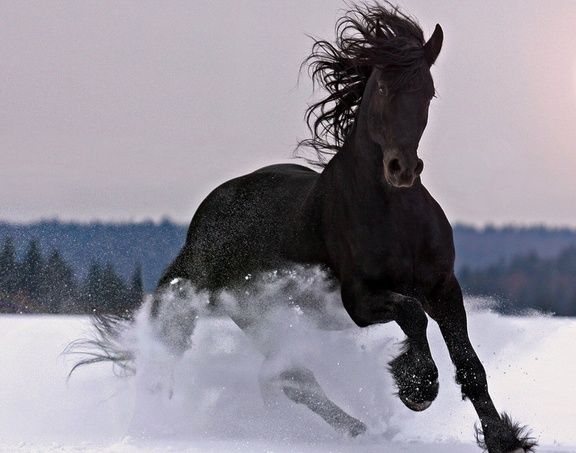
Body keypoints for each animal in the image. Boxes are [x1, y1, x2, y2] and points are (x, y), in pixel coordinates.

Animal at [76, 4, 536, 452]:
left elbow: (469, 363)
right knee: (292, 377)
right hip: (256, 314)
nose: (402, 169)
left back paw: (358, 430)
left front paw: (505, 439)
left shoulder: (443, 287)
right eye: (383, 89)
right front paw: (417, 387)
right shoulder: (358, 299)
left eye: (429, 91)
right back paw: (359, 431)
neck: (394, 215)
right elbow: (411, 314)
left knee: (289, 377)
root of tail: (200, 226)